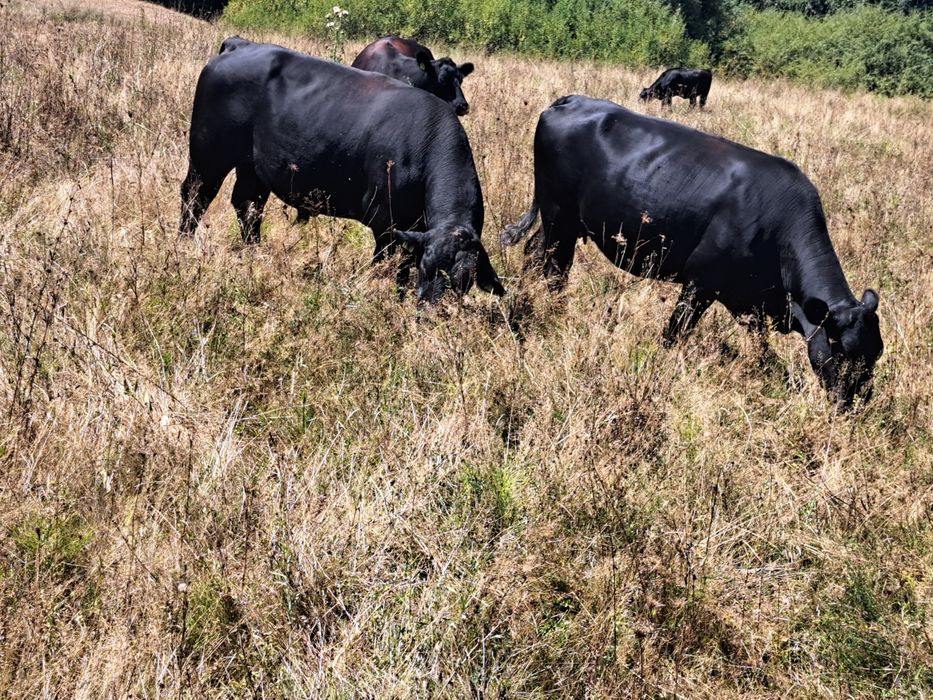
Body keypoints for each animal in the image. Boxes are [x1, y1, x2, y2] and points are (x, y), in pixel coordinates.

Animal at [180, 38, 505, 303]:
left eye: (464, 282)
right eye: (427, 270)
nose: (429, 309)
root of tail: (239, 44)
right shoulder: (386, 224)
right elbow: (386, 265)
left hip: (252, 167)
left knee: (247, 206)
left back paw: (254, 252)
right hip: (208, 155)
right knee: (195, 197)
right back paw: (183, 245)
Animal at [501, 95, 882, 406]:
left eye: (876, 353)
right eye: (839, 348)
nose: (855, 402)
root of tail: (570, 100)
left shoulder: (751, 301)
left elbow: (760, 347)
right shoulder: (701, 283)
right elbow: (675, 332)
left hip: (561, 220)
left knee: (535, 252)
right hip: (558, 214)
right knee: (555, 267)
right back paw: (556, 310)